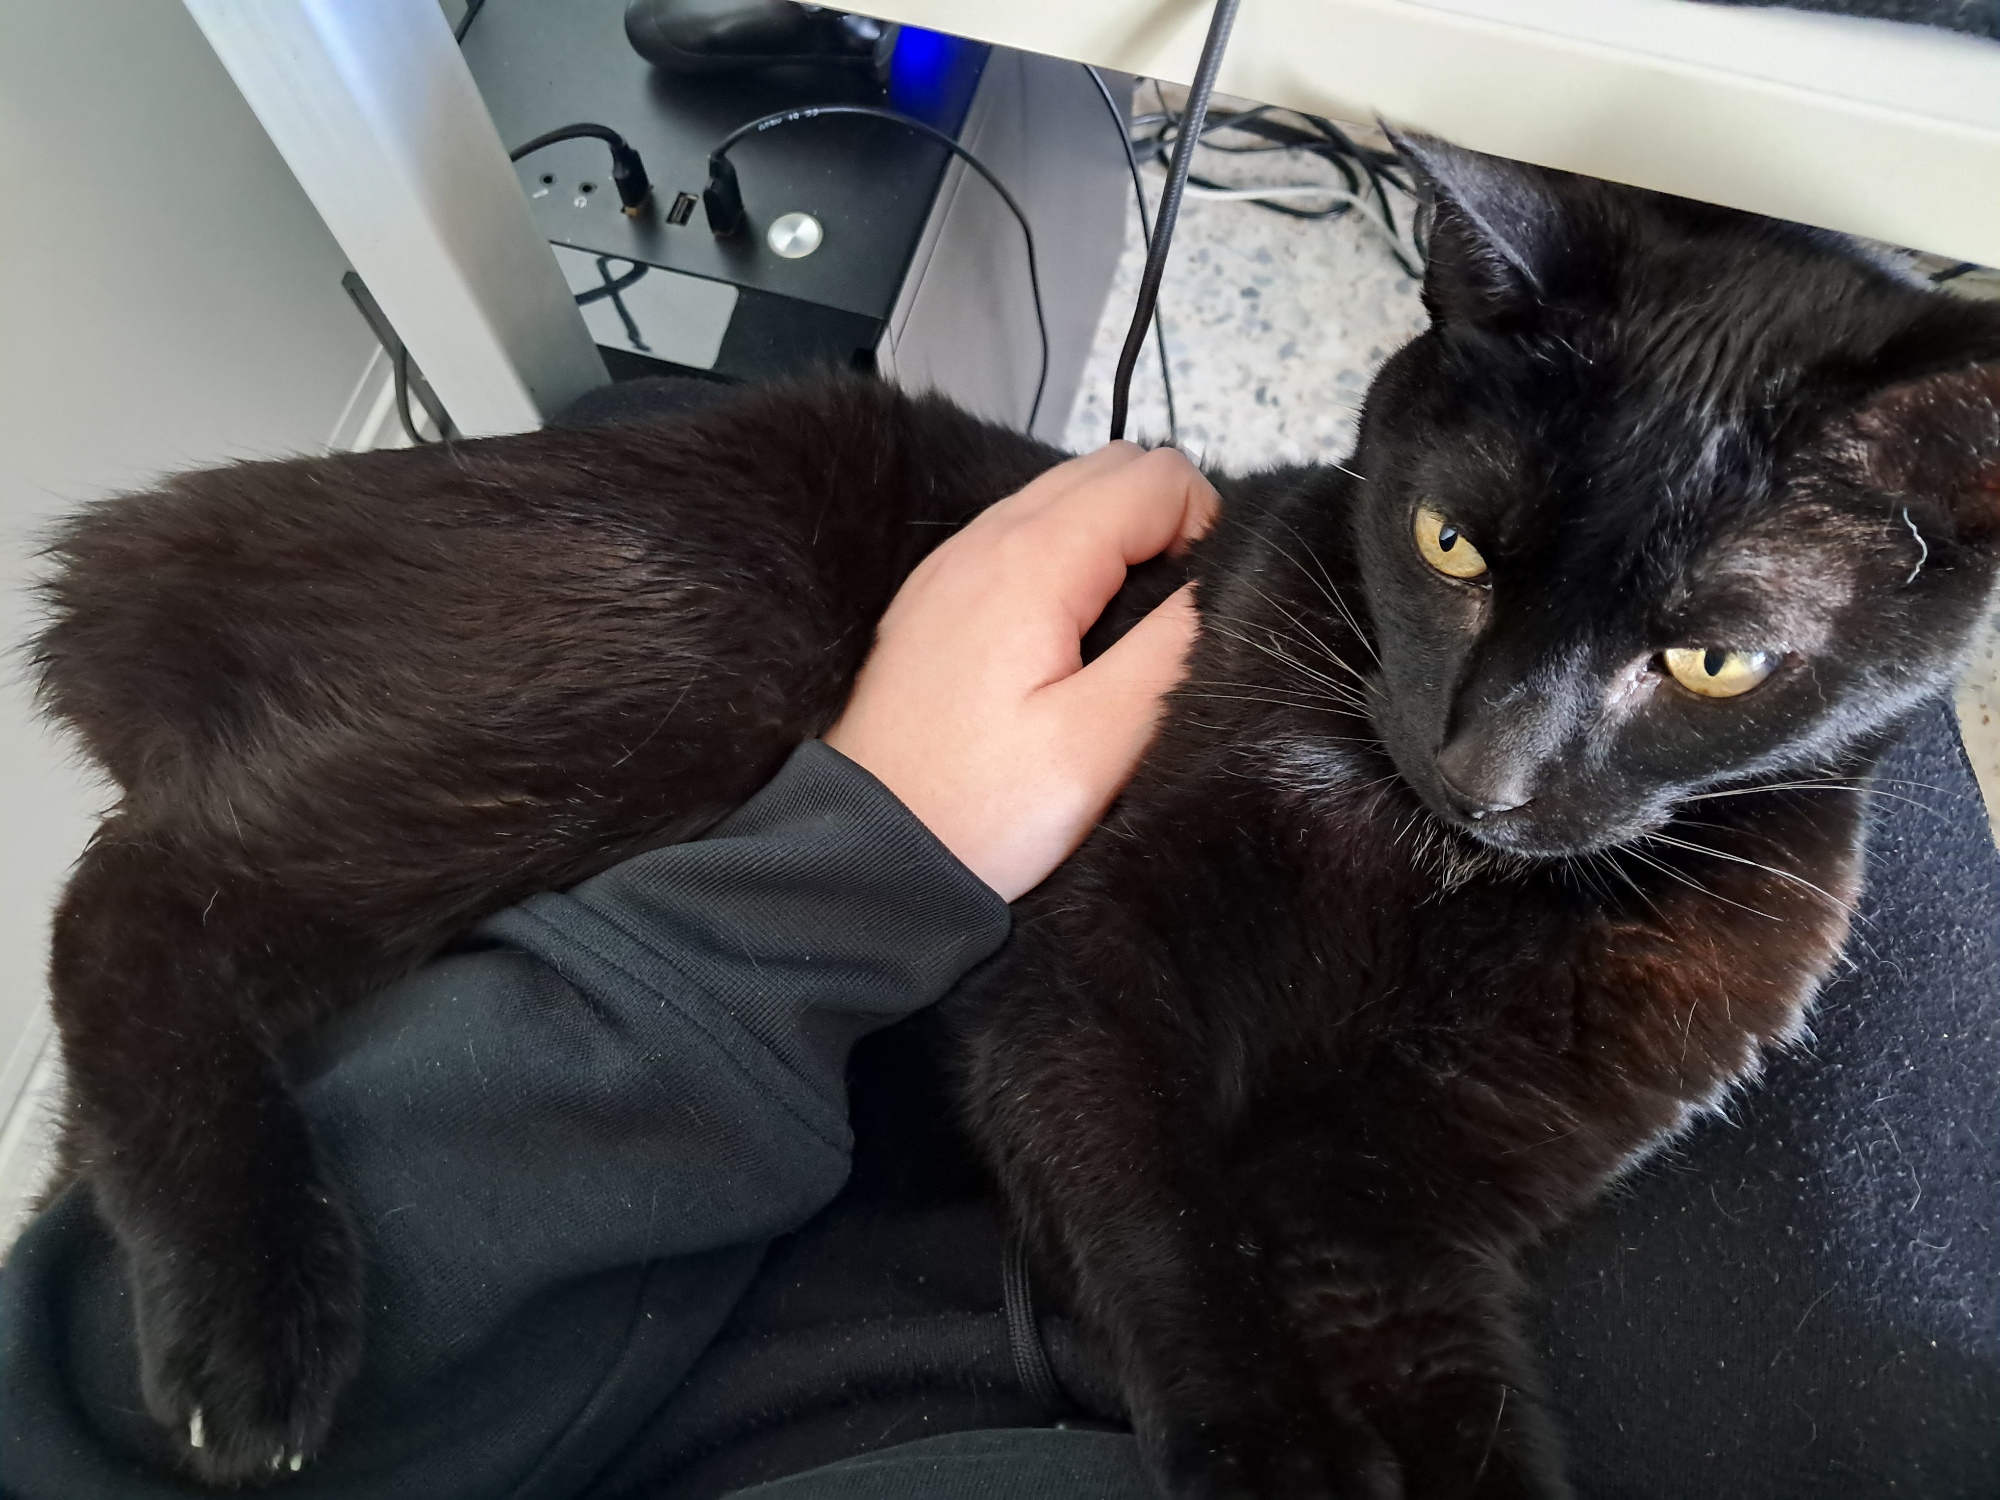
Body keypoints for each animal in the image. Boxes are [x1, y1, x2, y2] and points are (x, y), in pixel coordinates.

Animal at [28, 135, 2000, 1494]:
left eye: (1712, 662)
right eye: (1450, 545)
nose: (1488, 767)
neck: (1436, 880)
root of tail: (192, 535)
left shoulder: (1400, 1206)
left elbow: (1454, 1398)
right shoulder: (1080, 971)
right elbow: (1156, 1209)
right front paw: (1260, 1454)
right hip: (673, 663)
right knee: (138, 890)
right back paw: (249, 1337)